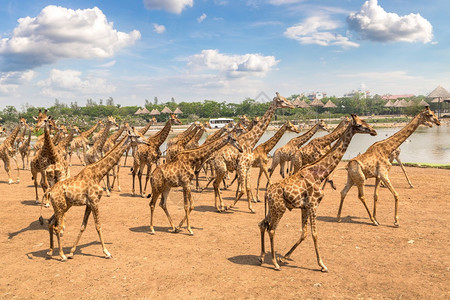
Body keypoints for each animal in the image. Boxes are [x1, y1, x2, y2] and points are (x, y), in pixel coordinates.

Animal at [41, 127, 149, 262]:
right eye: (137, 136)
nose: (148, 142)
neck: (98, 174)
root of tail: (50, 191)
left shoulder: (88, 204)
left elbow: (83, 226)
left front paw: (72, 252)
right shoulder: (94, 201)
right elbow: (98, 226)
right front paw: (107, 252)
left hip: (62, 206)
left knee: (50, 222)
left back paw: (50, 252)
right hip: (60, 207)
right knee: (57, 227)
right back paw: (61, 255)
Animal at [258, 115, 378, 272]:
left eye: (365, 121)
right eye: (359, 124)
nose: (374, 131)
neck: (319, 174)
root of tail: (267, 194)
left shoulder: (304, 207)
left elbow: (304, 233)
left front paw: (284, 257)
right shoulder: (314, 204)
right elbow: (314, 234)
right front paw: (322, 264)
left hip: (272, 209)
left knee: (262, 224)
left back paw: (261, 257)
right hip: (279, 209)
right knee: (271, 230)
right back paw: (274, 263)